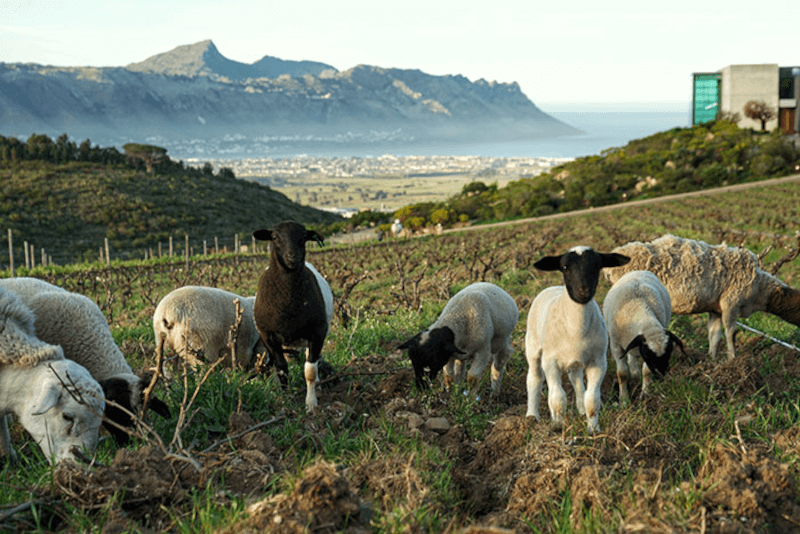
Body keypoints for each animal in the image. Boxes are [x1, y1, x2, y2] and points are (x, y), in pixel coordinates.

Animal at [252, 221, 334, 412]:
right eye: (274, 237)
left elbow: (310, 371)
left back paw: (318, 385)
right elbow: (282, 368)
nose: (292, 257)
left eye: (304, 237)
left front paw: (311, 403)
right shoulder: (268, 336)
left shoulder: (317, 332)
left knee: (313, 360)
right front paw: (286, 398)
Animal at [525, 246, 630, 434]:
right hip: (533, 346)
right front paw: (558, 426)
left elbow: (592, 399)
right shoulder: (550, 362)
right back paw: (532, 416)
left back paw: (580, 410)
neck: (576, 330)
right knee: (534, 378)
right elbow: (558, 398)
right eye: (565, 267)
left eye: (597, 265)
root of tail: (552, 287)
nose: (583, 291)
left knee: (577, 381)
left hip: (575, 361)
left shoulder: (598, 362)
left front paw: (593, 429)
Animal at [602, 270, 684, 403]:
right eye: (648, 355)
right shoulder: (616, 346)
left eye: (669, 352)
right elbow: (622, 374)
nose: (661, 373)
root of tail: (638, 270)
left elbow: (646, 372)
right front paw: (624, 400)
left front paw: (645, 394)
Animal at [605, 234, 800, 360]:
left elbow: (714, 335)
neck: (760, 288)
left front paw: (712, 360)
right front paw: (733, 360)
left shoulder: (715, 309)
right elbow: (731, 333)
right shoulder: (731, 303)